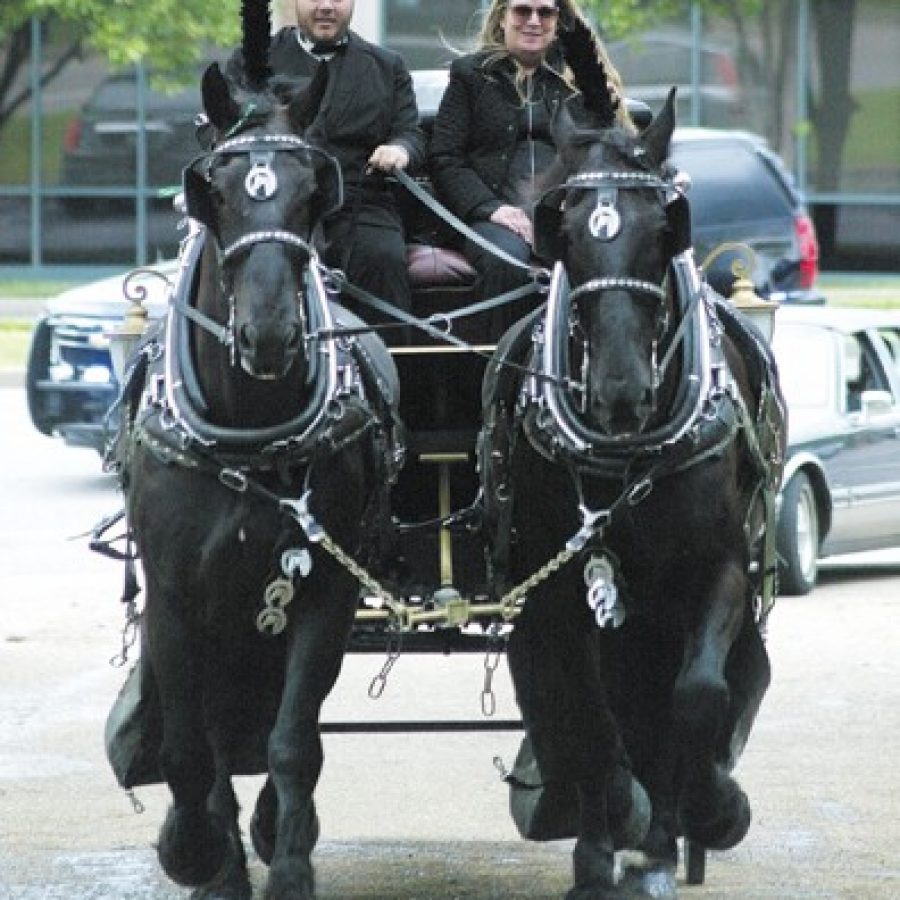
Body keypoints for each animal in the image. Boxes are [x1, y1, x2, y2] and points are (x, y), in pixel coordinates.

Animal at [115, 47, 400, 900]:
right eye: (214, 189)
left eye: (313, 191)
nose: (270, 333)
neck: (247, 433)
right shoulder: (178, 597)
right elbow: (187, 747)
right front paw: (198, 854)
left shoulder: (325, 591)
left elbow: (293, 738)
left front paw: (290, 862)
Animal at [478, 68, 788, 892]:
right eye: (565, 231)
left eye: (663, 228)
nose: (621, 392)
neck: (629, 456)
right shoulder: (559, 589)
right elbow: (589, 717)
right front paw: (607, 837)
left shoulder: (719, 569)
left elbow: (701, 695)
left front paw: (702, 814)